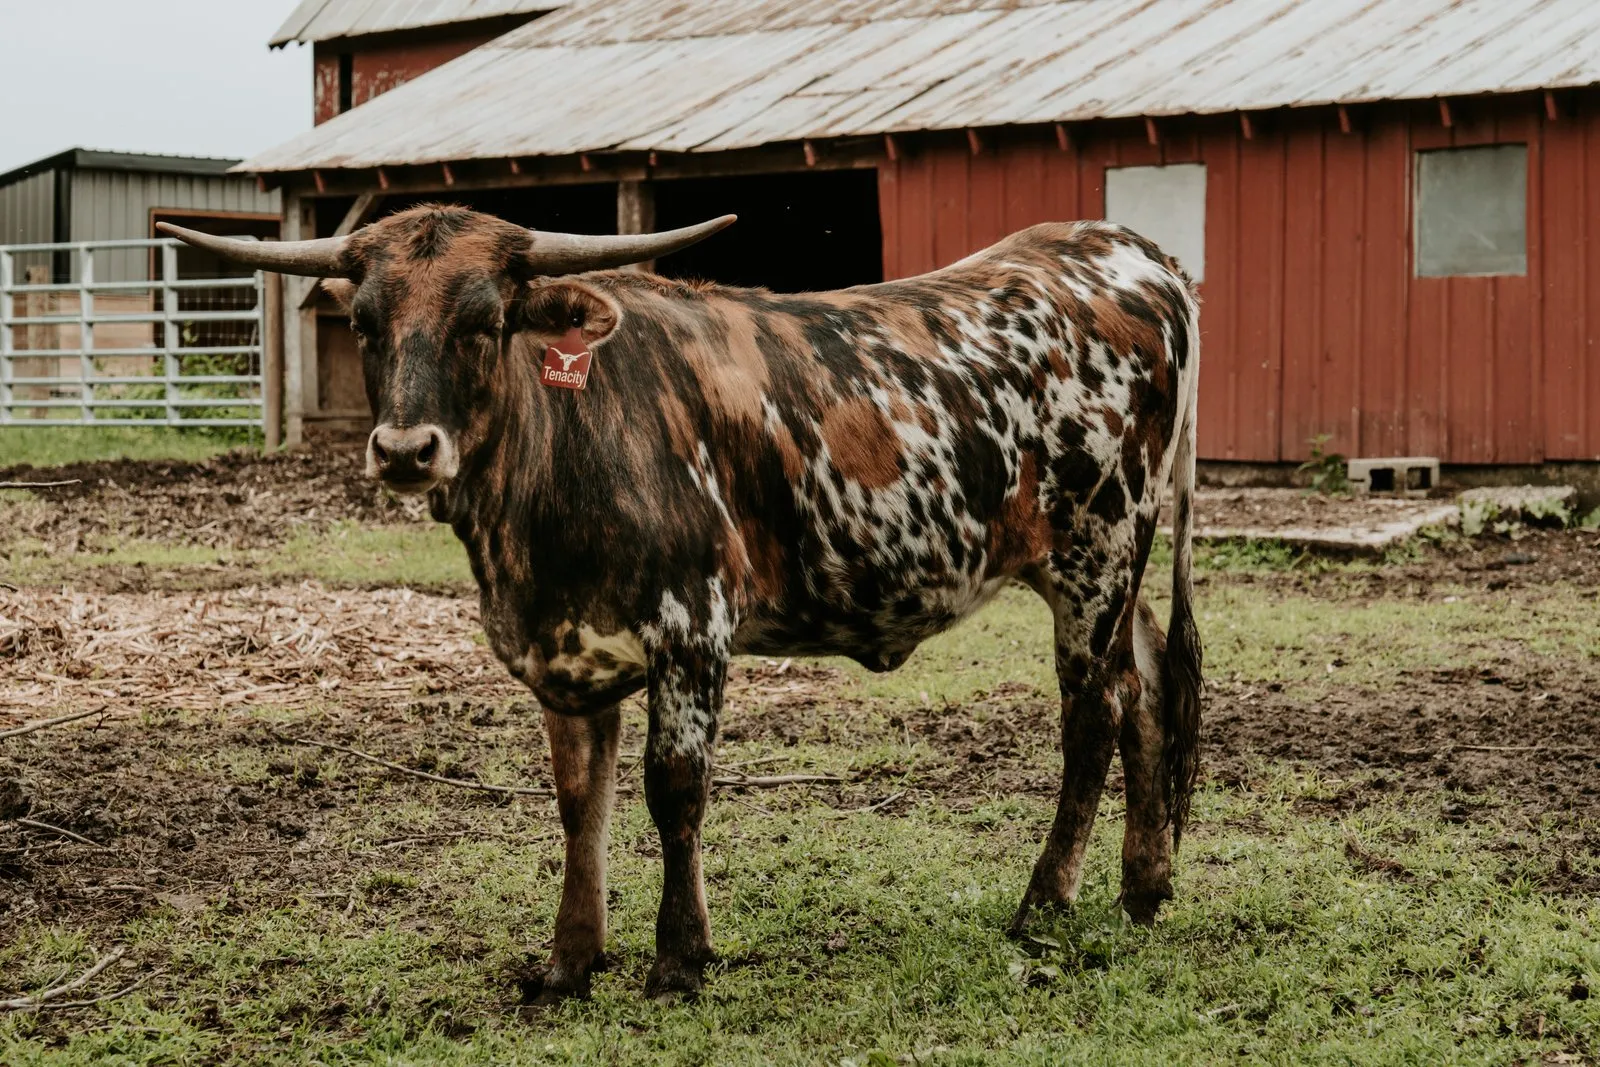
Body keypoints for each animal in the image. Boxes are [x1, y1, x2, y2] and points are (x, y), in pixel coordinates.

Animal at [159, 206, 1202, 1003]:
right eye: (368, 322)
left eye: (486, 319)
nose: (407, 450)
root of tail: (1120, 246)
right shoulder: (565, 653)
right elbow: (580, 800)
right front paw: (570, 960)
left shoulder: (693, 629)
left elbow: (673, 788)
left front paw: (679, 955)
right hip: (1103, 568)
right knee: (1149, 682)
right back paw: (1143, 888)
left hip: (1098, 549)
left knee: (1094, 712)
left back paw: (1046, 903)